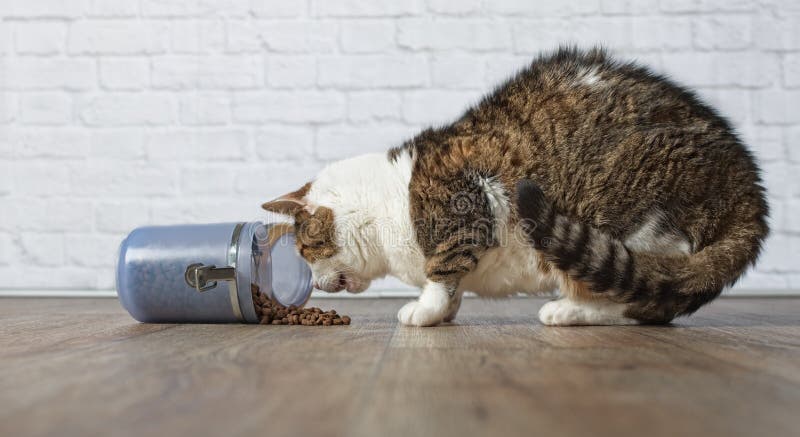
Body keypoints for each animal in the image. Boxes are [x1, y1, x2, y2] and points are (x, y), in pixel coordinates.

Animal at [260, 48, 768, 328]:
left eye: (304, 251)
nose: (315, 286)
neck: (387, 203)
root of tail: (750, 189)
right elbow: (454, 285)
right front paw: (444, 313)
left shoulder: (465, 205)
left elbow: (441, 270)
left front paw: (425, 311)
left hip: (620, 212)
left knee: (648, 300)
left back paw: (567, 312)